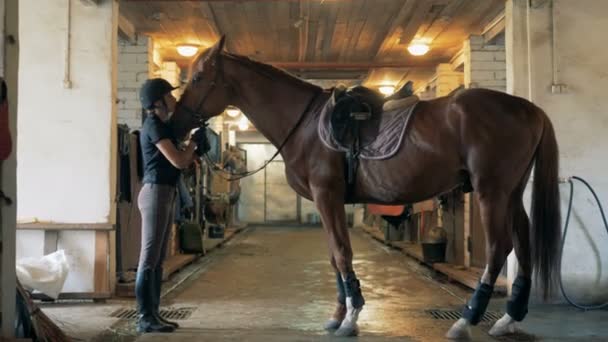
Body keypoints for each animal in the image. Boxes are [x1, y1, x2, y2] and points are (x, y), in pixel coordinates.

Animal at [170, 38, 560, 340]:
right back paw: (508, 319)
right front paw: (337, 315)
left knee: (499, 249)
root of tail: (529, 108)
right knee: (523, 243)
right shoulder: (331, 201)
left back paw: (466, 320)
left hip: (491, 191)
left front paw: (352, 317)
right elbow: (333, 254)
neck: (306, 125)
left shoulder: (327, 195)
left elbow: (342, 253)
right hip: (512, 191)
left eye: (199, 77)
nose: (175, 124)